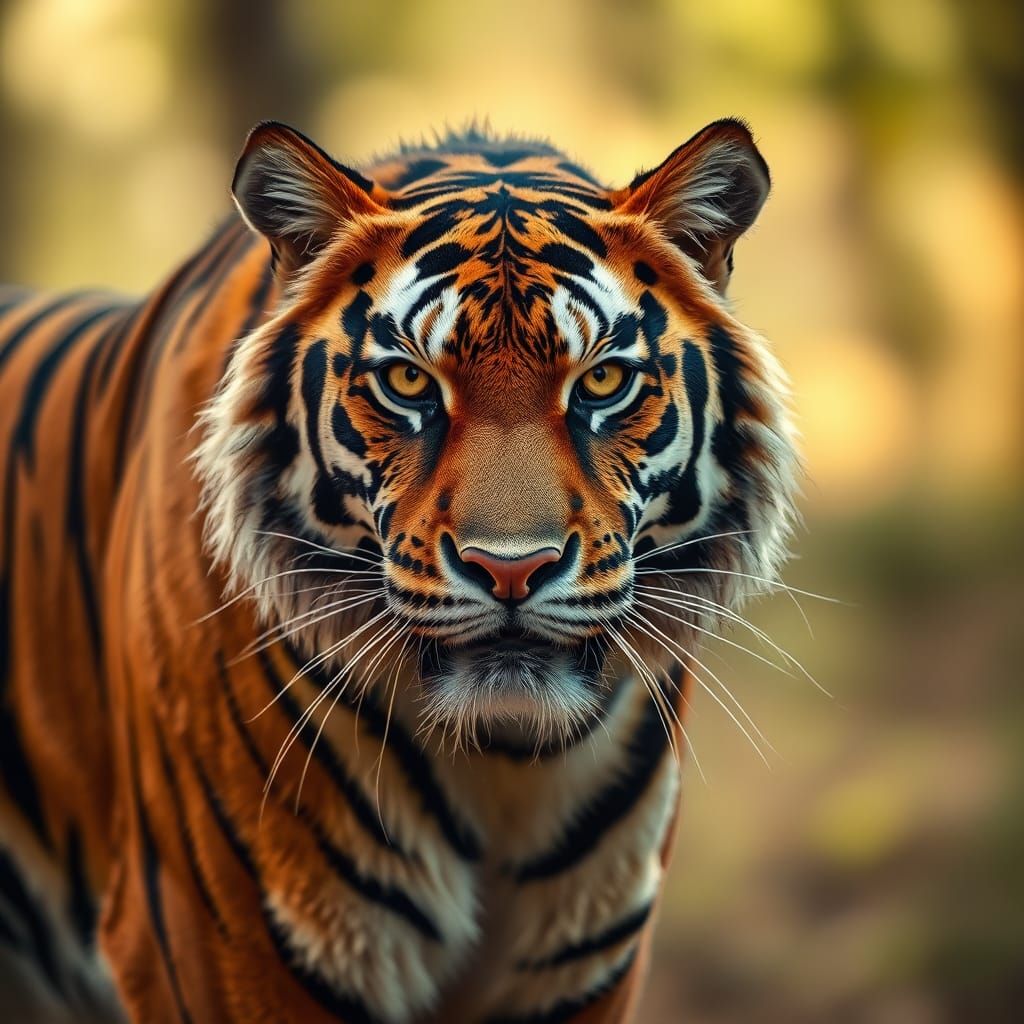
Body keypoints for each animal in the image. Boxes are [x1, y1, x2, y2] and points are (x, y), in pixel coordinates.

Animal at [0, 117, 797, 1023]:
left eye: (601, 380)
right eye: (410, 380)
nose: (511, 569)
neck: (506, 764)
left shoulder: (584, 969)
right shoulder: (226, 950)